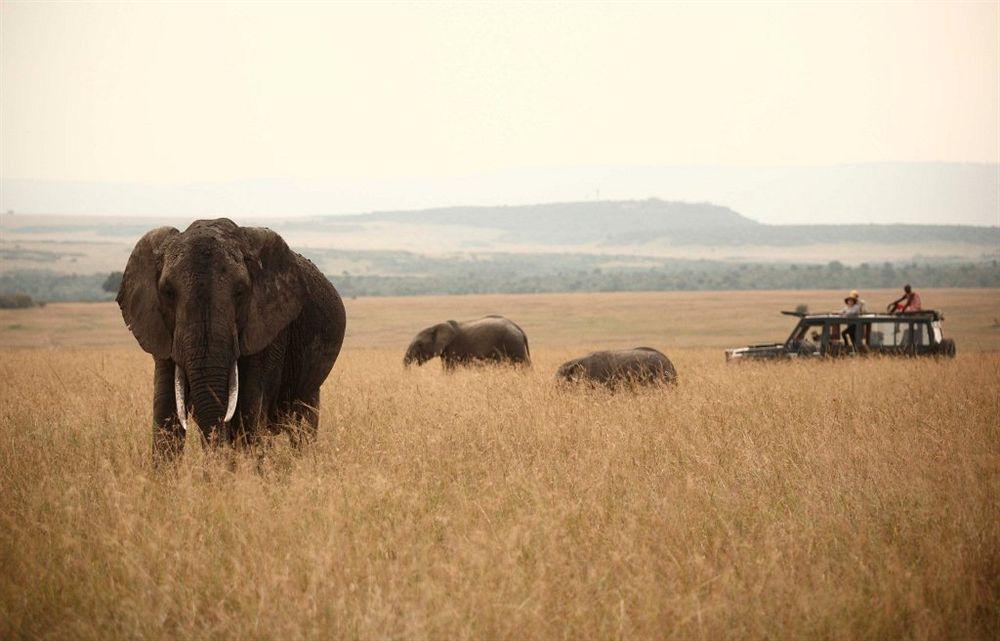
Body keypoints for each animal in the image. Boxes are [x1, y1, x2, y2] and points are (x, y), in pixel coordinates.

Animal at [118, 218, 348, 458]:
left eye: (240, 291)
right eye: (168, 292)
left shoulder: (269, 332)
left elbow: (247, 414)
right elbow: (166, 416)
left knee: (302, 423)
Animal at [404, 314, 536, 368]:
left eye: (419, 344)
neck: (436, 326)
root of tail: (519, 328)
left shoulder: (453, 348)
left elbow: (449, 369)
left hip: (513, 342)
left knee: (523, 363)